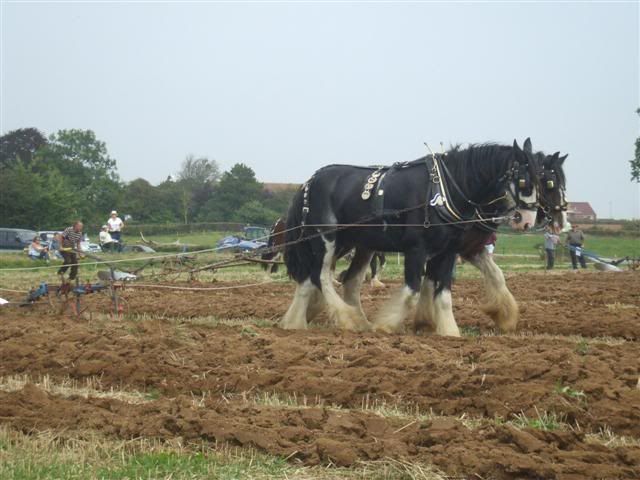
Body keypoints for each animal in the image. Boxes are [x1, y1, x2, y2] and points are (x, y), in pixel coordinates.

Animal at [282, 141, 544, 336]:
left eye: (541, 181)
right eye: (523, 181)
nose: (527, 220)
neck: (442, 191)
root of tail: (309, 182)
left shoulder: (448, 252)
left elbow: (444, 295)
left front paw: (449, 331)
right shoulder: (417, 249)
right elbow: (412, 291)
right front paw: (386, 325)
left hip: (355, 244)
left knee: (332, 280)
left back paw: (298, 323)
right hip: (325, 238)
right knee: (321, 277)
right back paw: (348, 319)